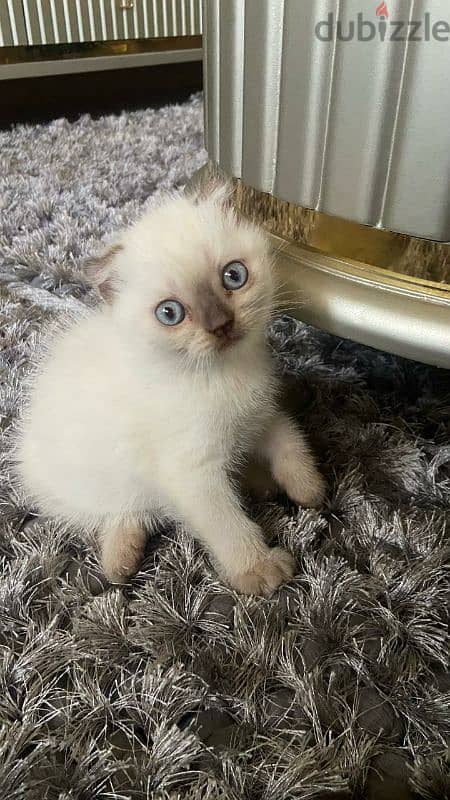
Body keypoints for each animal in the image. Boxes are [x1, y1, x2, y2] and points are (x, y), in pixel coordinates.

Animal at [14, 186, 324, 592]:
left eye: (234, 276)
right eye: (170, 313)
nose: (221, 325)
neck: (228, 373)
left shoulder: (262, 414)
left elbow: (291, 442)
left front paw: (309, 488)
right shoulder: (192, 474)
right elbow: (227, 525)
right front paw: (258, 570)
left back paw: (259, 480)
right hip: (92, 484)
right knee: (118, 515)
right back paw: (120, 562)